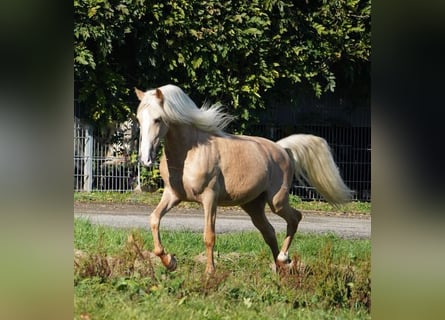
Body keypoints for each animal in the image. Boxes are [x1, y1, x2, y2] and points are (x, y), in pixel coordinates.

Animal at [134, 84, 350, 274]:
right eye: (138, 119)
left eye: (158, 119)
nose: (145, 159)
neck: (191, 152)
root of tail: (282, 148)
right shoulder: (173, 195)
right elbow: (154, 219)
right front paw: (170, 262)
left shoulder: (209, 198)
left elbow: (209, 236)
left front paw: (210, 272)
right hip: (253, 206)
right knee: (269, 232)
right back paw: (280, 268)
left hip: (277, 201)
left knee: (295, 218)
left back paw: (283, 258)